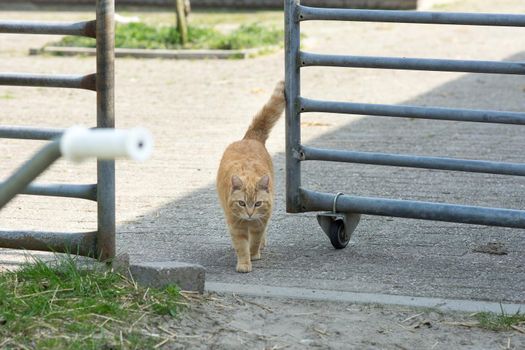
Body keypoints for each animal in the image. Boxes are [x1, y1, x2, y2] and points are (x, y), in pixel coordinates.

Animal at [216, 80, 284, 272]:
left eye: (258, 203)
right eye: (242, 203)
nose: (249, 213)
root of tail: (250, 138)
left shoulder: (260, 222)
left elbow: (254, 240)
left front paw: (254, 254)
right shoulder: (236, 225)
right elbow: (241, 245)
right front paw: (244, 263)